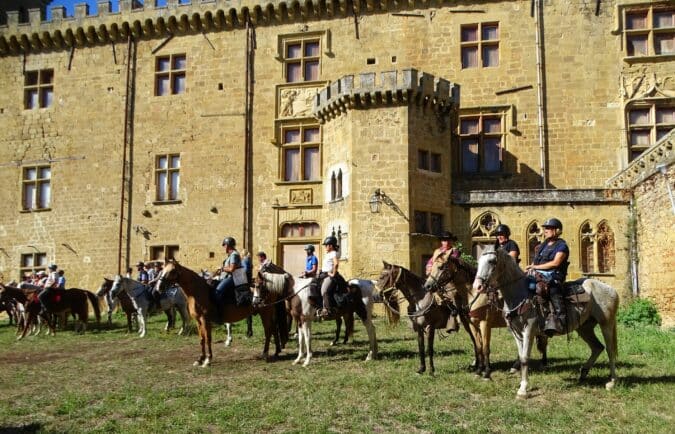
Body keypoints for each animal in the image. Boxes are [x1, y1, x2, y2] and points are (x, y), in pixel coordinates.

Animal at [156, 260, 288, 368]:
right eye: (162, 269)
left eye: (172, 271)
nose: (158, 287)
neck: (198, 292)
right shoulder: (198, 320)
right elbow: (201, 339)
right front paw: (200, 359)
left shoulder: (205, 319)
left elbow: (208, 338)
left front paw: (208, 360)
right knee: (274, 329)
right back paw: (276, 351)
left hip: (265, 312)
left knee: (268, 331)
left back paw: (265, 353)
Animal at [472, 246, 620, 398]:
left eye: (492, 261)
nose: (477, 286)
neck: (521, 294)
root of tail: (610, 289)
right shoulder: (516, 332)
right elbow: (521, 356)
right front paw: (521, 384)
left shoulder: (529, 330)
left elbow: (525, 358)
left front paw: (523, 390)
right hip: (585, 328)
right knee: (597, 347)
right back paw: (584, 372)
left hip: (606, 323)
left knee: (610, 350)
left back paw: (612, 381)